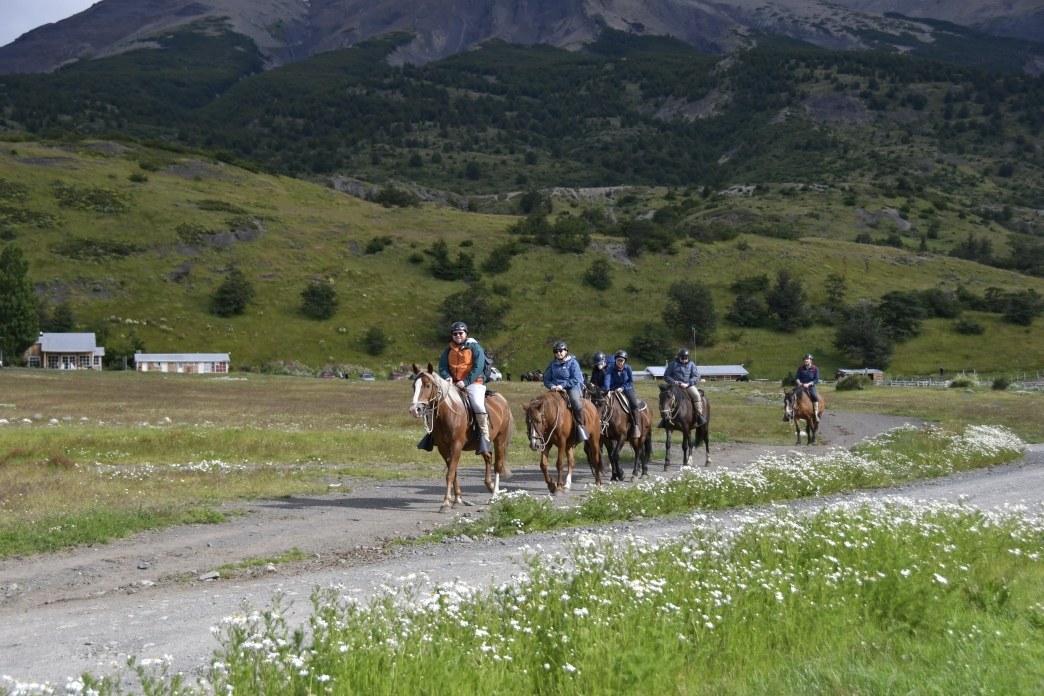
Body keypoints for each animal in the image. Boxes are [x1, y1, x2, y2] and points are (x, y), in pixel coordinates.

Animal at [407, 365, 513, 511]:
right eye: (413, 386)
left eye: (427, 385)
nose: (414, 409)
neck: (448, 414)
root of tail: (501, 399)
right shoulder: (443, 447)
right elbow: (453, 471)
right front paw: (457, 499)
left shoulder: (456, 445)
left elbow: (450, 473)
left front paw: (446, 502)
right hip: (482, 444)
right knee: (488, 457)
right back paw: (490, 486)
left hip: (500, 440)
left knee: (498, 465)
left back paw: (494, 494)